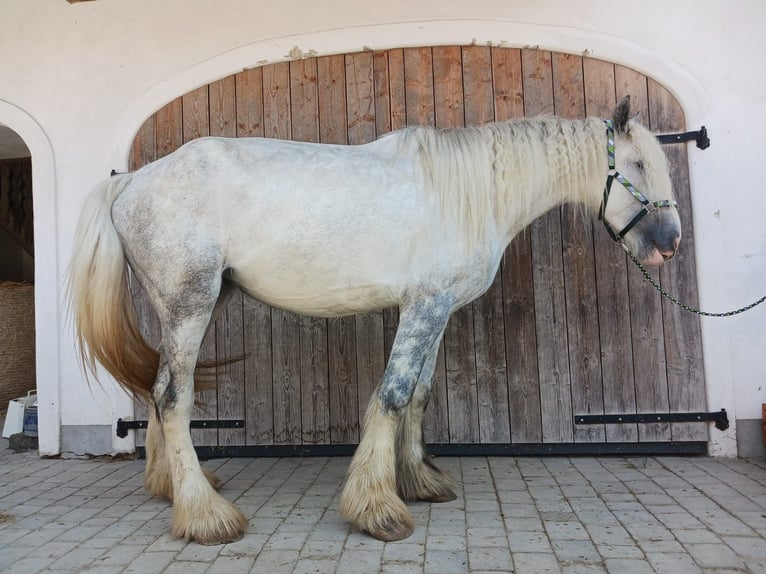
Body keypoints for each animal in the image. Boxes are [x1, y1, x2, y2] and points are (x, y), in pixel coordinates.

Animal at [68, 95, 681, 545]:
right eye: (637, 165)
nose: (670, 244)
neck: (468, 194)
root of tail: (132, 180)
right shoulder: (424, 306)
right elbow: (392, 395)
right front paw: (377, 508)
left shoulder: (435, 310)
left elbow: (419, 395)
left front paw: (418, 481)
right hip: (190, 306)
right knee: (174, 398)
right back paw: (204, 515)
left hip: (190, 308)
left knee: (156, 389)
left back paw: (172, 487)